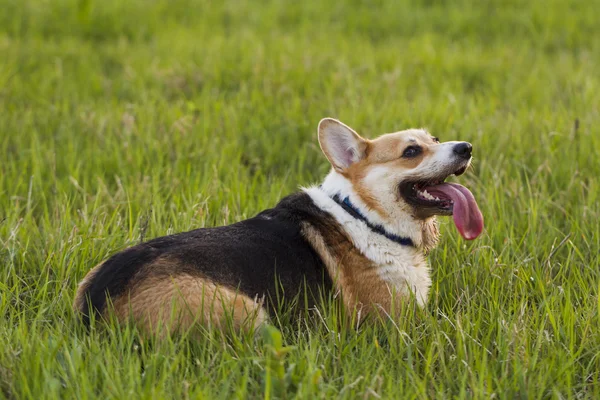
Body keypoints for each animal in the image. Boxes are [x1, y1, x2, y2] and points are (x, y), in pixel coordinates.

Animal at [75, 118, 486, 334]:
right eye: (412, 151)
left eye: (435, 139)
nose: (466, 147)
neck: (365, 216)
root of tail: (97, 311)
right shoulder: (392, 322)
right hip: (250, 311)